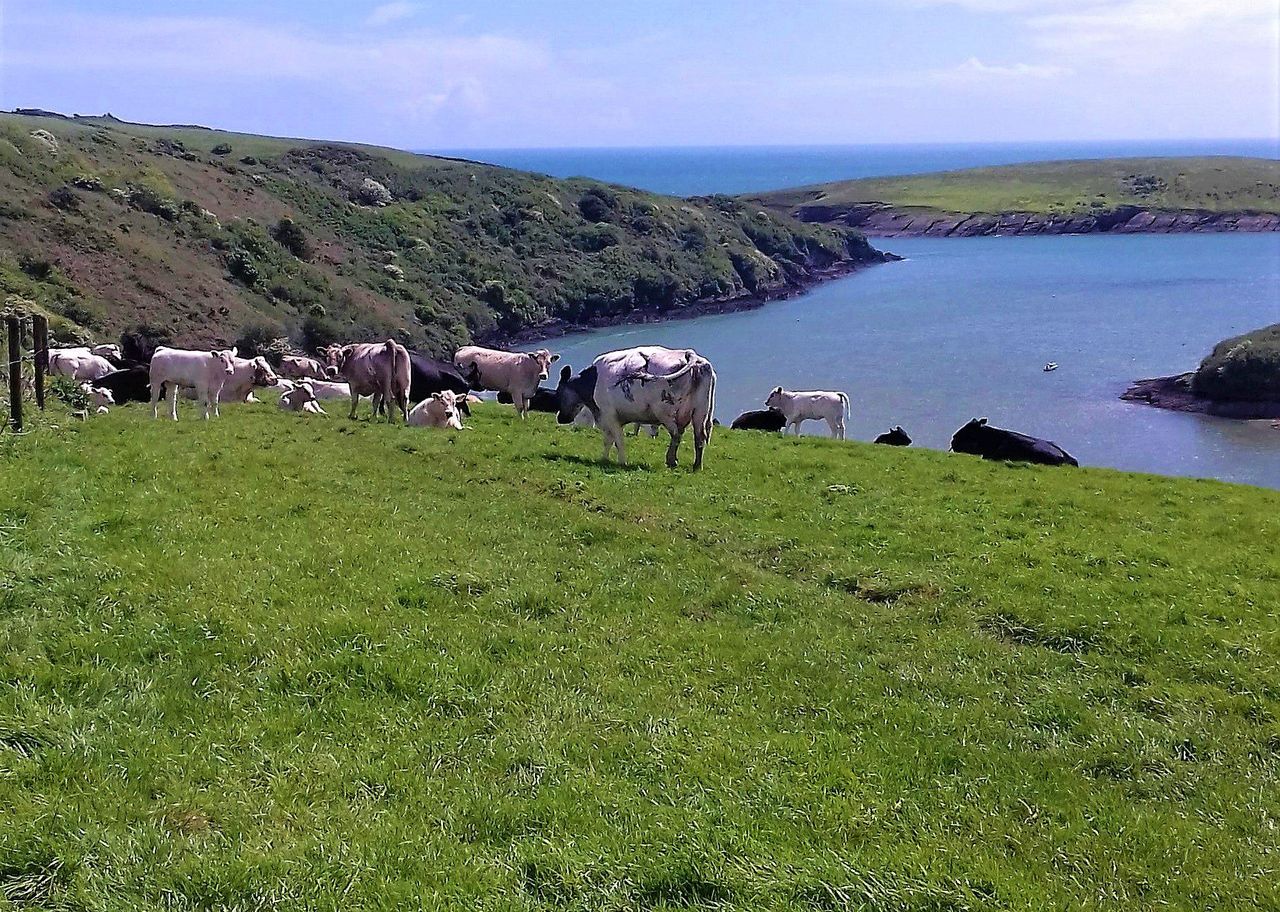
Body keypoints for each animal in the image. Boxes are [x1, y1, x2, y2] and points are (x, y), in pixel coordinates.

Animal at [556, 346, 716, 470]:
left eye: (559, 393)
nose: (560, 418)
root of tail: (692, 355)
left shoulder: (609, 415)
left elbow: (617, 440)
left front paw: (621, 462)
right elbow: (608, 440)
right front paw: (604, 459)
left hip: (665, 411)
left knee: (676, 434)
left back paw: (671, 461)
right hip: (701, 411)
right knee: (699, 436)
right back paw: (696, 466)